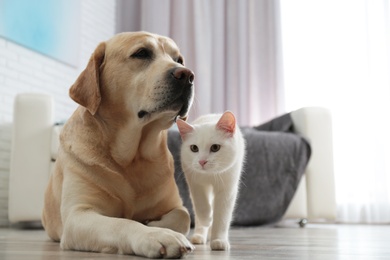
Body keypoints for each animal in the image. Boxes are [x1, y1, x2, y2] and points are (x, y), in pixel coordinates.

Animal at [42, 32, 194, 258]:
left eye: (179, 60)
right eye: (141, 53)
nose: (187, 75)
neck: (133, 156)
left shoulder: (175, 205)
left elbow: (184, 216)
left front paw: (154, 224)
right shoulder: (78, 215)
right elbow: (122, 223)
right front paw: (156, 234)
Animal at [177, 110, 245, 251]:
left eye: (215, 147)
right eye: (194, 148)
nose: (202, 161)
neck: (210, 175)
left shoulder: (227, 189)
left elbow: (221, 217)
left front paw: (219, 240)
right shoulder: (194, 183)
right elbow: (202, 205)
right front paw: (207, 219)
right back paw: (199, 236)